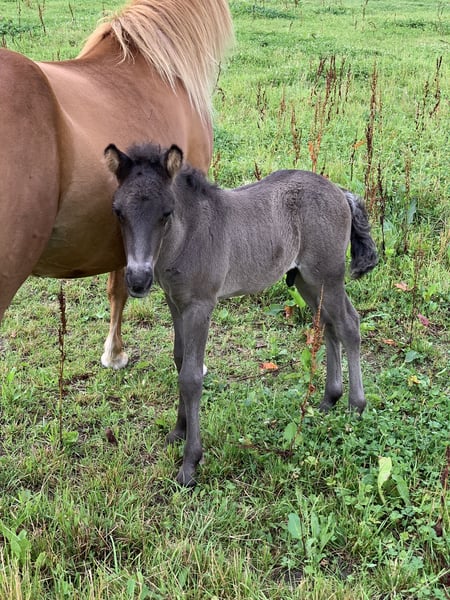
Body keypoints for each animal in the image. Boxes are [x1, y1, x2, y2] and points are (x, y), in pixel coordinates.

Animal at [104, 142, 379, 486]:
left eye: (166, 213)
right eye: (118, 211)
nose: (138, 279)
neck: (187, 235)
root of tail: (340, 191)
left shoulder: (200, 305)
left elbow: (191, 377)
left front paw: (190, 463)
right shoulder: (175, 301)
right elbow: (180, 360)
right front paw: (178, 431)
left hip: (327, 275)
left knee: (349, 324)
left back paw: (355, 407)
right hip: (307, 280)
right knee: (330, 325)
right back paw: (330, 398)